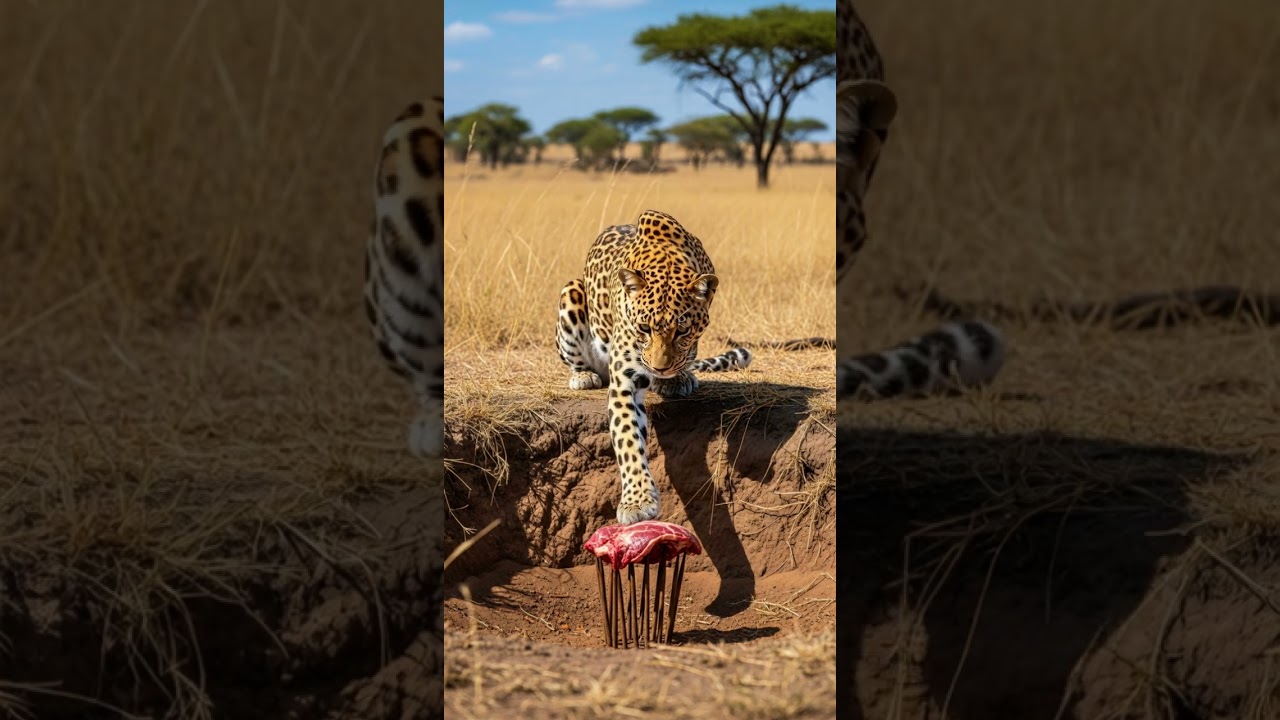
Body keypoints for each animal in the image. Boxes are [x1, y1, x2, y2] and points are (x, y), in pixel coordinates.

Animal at [557, 210, 751, 524]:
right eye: (644, 328)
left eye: (682, 331)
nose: (659, 369)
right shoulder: (624, 381)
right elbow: (628, 439)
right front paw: (637, 502)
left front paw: (676, 377)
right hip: (571, 291)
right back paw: (584, 376)